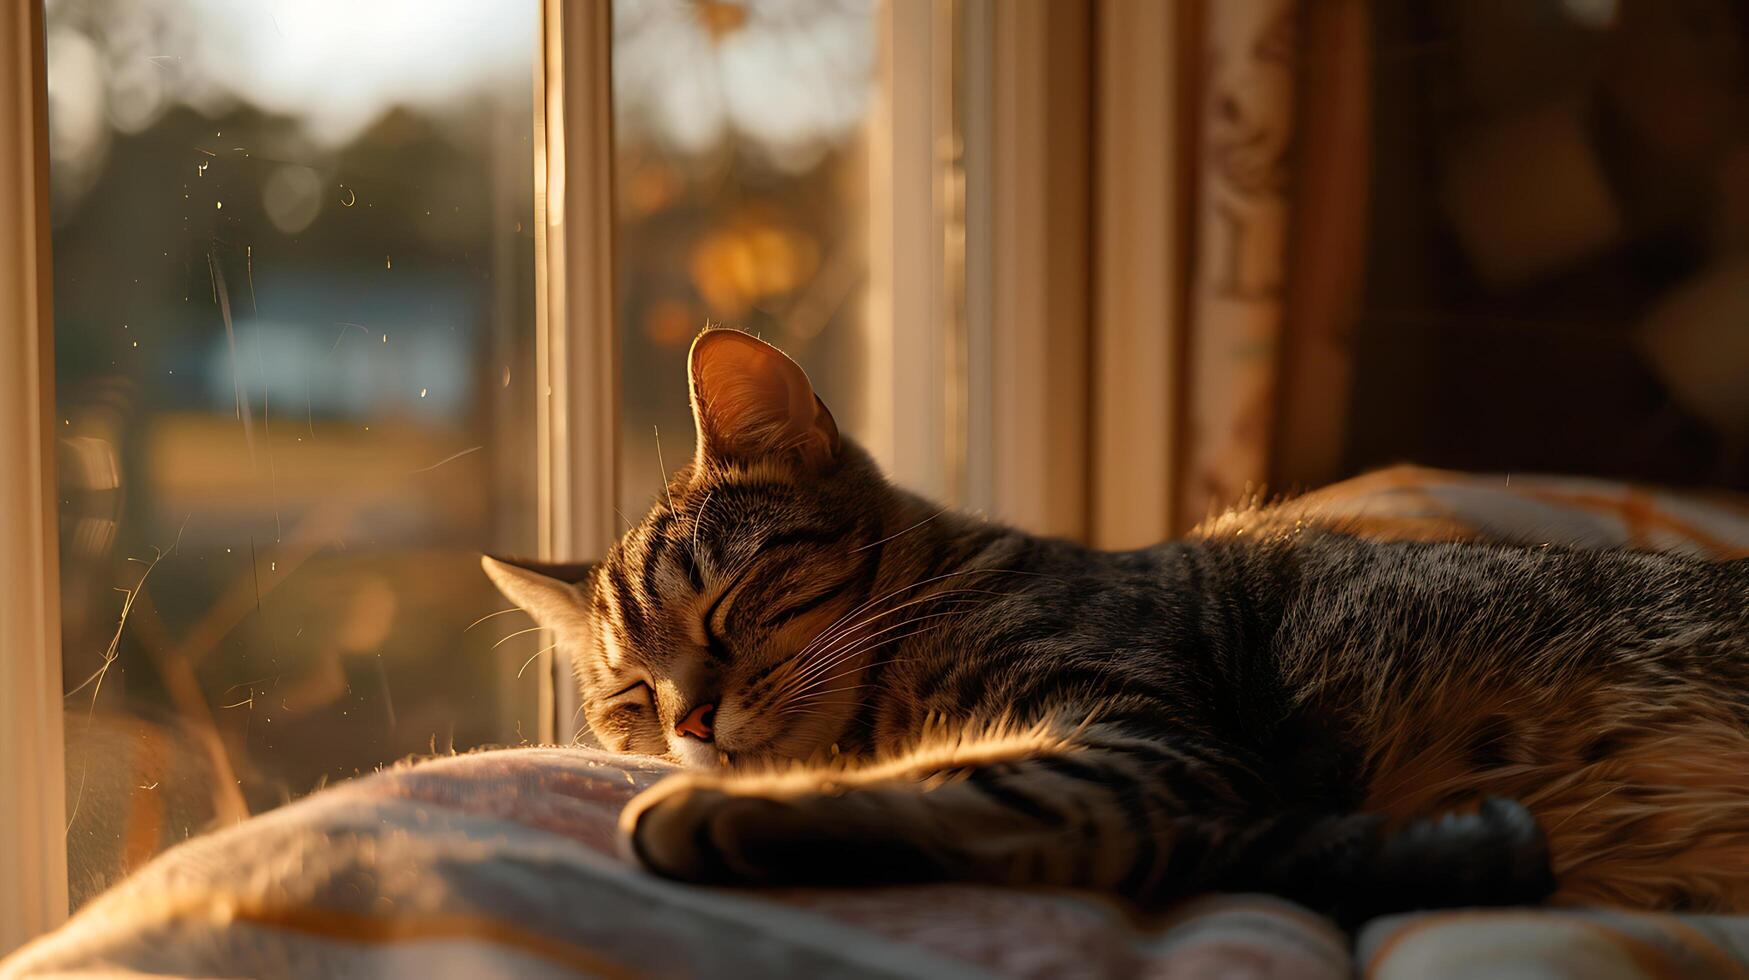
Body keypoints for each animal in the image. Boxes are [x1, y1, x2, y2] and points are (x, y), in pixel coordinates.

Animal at [486, 325, 1749, 924]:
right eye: (627, 695)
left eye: (729, 597)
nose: (688, 722)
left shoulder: (1145, 740)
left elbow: (961, 781)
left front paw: (730, 811)